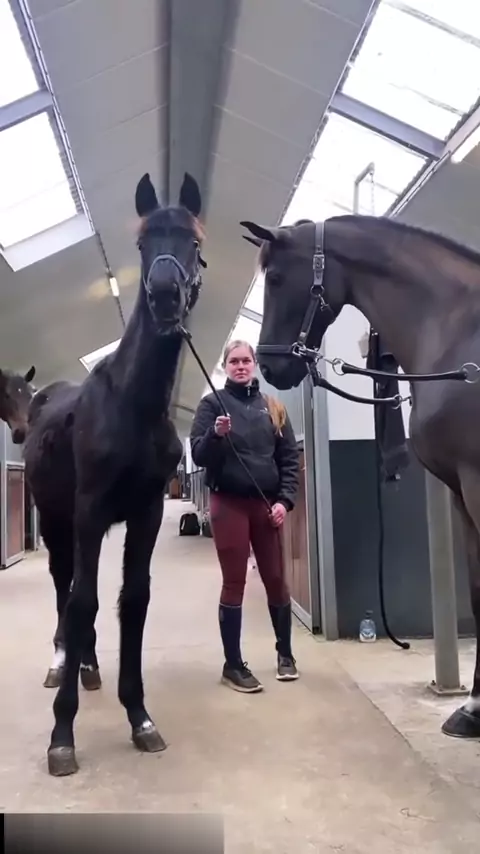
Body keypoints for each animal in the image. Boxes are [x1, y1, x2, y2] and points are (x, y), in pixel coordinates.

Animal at [23, 170, 205, 777]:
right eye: (143, 242)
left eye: (193, 241)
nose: (166, 295)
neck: (133, 406)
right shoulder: (88, 511)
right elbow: (82, 601)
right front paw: (61, 735)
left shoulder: (145, 512)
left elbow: (134, 600)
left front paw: (140, 716)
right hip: (57, 521)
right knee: (64, 588)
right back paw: (65, 662)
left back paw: (90, 666)